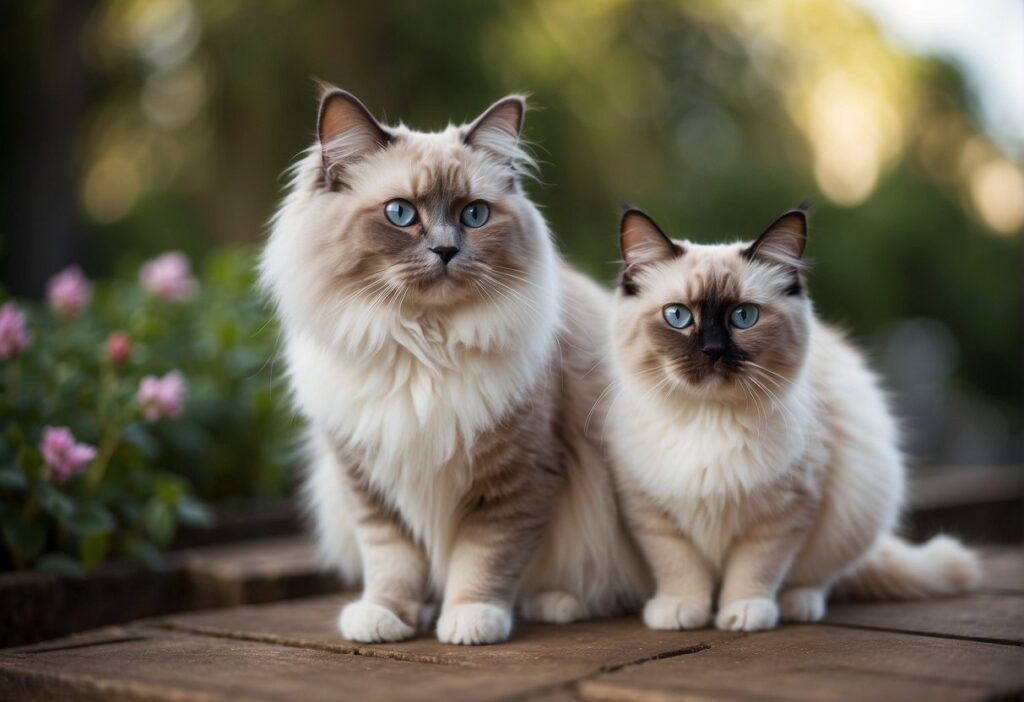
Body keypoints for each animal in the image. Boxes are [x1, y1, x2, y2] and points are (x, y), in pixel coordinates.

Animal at [264, 85, 647, 646]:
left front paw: (471, 619)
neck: (422, 347)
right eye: (401, 214)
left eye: (474, 215)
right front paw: (387, 616)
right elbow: (392, 563)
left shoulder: (515, 480)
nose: (445, 250)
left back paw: (555, 603)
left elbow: (484, 558)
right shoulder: (369, 485)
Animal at [602, 206, 978, 634]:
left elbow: (755, 569)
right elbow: (678, 567)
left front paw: (744, 614)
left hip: (856, 509)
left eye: (743, 316)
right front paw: (681, 611)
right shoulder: (651, 512)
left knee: (819, 578)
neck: (708, 419)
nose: (713, 350)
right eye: (678, 316)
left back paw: (799, 605)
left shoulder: (783, 515)